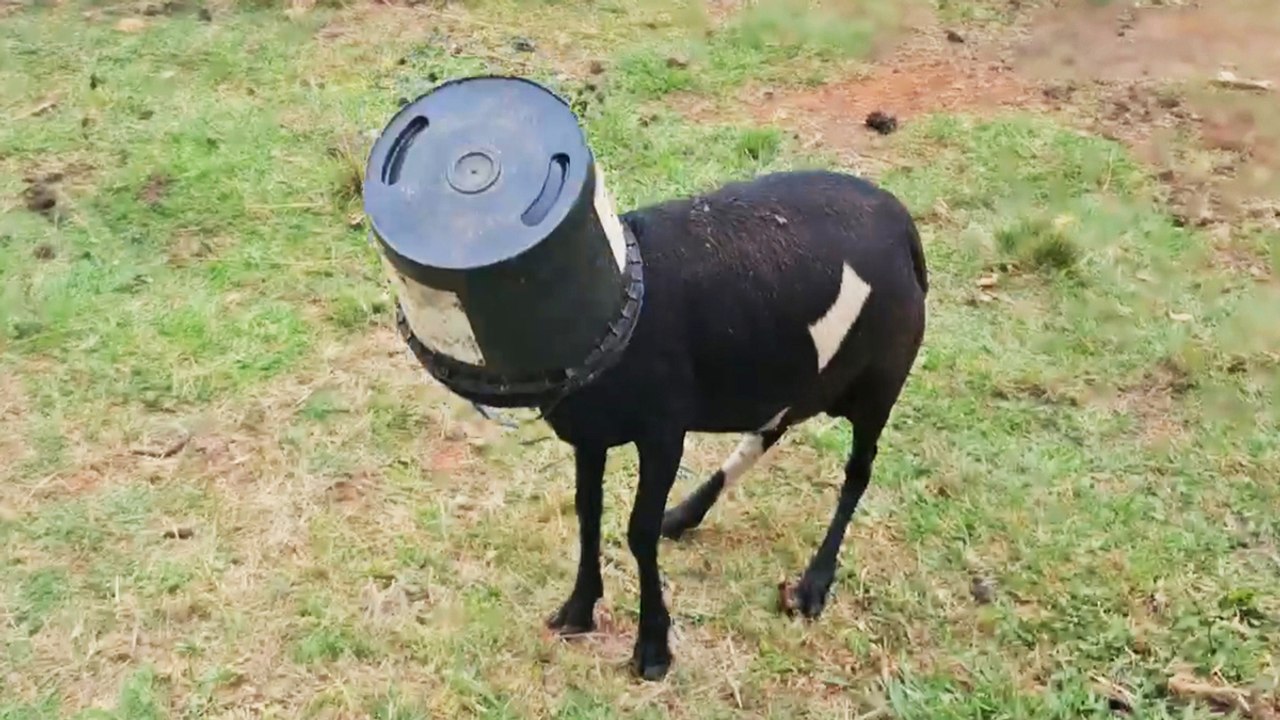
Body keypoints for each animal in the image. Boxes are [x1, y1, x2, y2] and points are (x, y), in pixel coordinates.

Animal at [536, 169, 929, 681]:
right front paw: (578, 611)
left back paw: (813, 584)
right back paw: (685, 515)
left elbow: (639, 531)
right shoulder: (590, 434)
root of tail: (902, 223)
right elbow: (588, 512)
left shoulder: (663, 433)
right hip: (799, 376)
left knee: (858, 471)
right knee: (771, 428)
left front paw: (653, 648)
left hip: (880, 381)